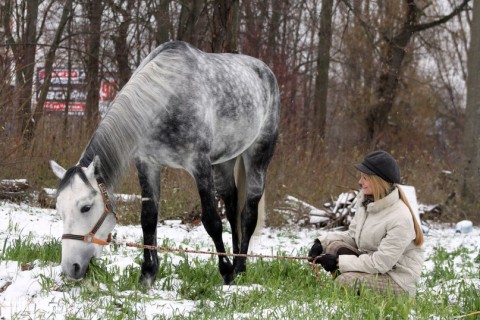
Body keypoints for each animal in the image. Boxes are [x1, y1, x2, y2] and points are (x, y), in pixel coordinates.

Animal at [49, 40, 282, 284]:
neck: (165, 98)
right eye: (59, 210)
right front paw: (148, 273)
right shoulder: (147, 165)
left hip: (257, 156)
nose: (71, 268)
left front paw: (226, 271)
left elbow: (211, 221)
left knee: (248, 214)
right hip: (224, 162)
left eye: (86, 207)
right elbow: (148, 219)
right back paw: (237, 262)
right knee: (232, 206)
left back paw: (239, 267)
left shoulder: (199, 165)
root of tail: (264, 70)